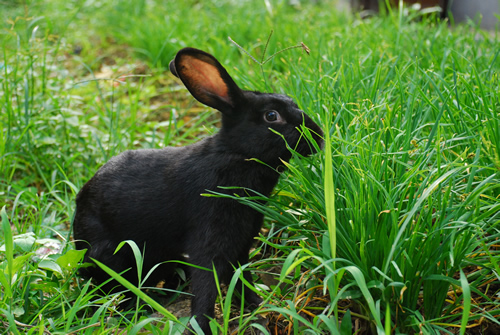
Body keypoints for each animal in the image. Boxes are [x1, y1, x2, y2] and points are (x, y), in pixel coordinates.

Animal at [74, 46, 324, 334]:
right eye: (272, 116)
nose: (318, 137)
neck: (236, 155)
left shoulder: (240, 246)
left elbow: (242, 280)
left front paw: (258, 307)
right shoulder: (209, 243)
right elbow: (206, 290)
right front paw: (202, 326)